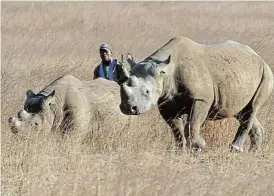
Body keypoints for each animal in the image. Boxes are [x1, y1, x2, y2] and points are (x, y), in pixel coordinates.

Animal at [120, 36, 274, 152]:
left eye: (147, 92)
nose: (128, 108)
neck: (166, 72)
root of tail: (258, 57)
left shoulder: (201, 99)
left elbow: (192, 124)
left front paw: (199, 145)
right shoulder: (165, 101)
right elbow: (176, 128)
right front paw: (179, 150)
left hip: (265, 73)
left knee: (252, 108)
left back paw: (236, 149)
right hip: (241, 73)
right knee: (241, 111)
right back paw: (252, 152)